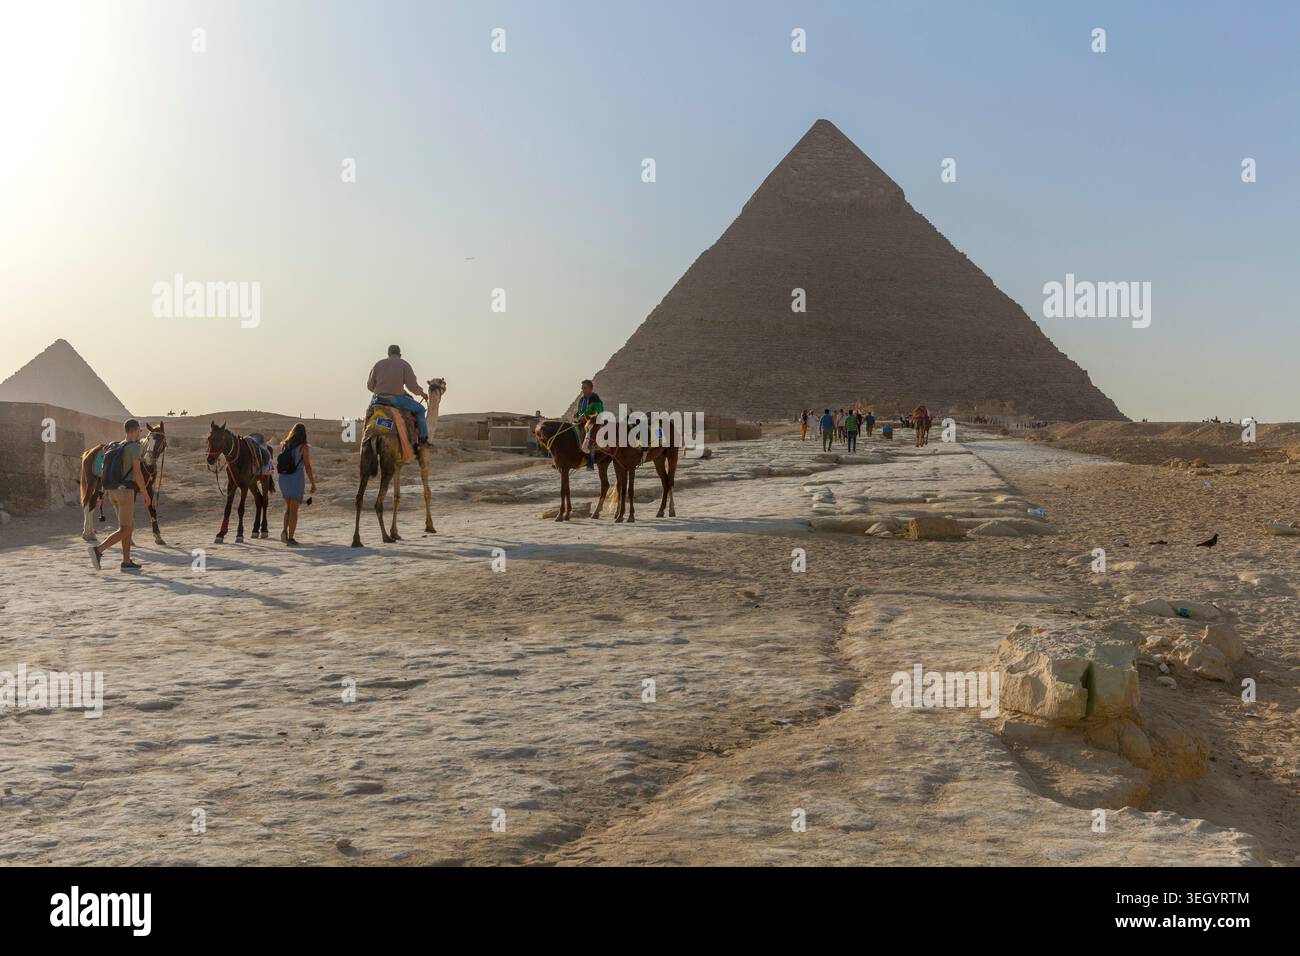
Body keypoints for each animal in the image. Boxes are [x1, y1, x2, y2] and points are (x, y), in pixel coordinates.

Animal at [351, 378, 446, 547]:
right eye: (442, 383)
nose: (445, 386)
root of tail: (375, 432)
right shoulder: (424, 458)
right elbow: (427, 492)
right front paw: (430, 527)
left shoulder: (398, 465)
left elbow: (397, 496)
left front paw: (395, 532)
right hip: (387, 458)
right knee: (378, 502)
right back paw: (385, 537)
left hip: (366, 454)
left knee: (359, 497)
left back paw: (357, 540)